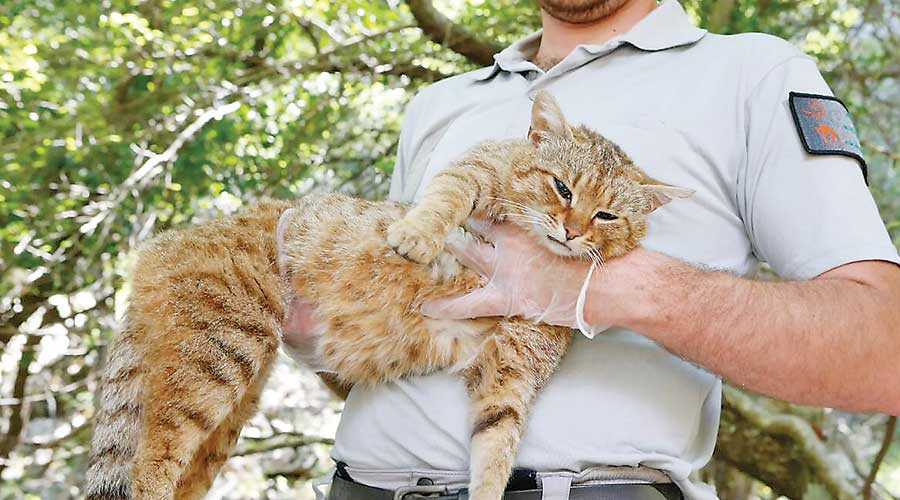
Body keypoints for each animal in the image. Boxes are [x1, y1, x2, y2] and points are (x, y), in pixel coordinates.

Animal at [86, 91, 688, 500]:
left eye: (606, 215)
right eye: (562, 187)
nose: (572, 230)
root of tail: (165, 243)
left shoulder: (510, 371)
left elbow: (497, 445)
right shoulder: (476, 169)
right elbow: (445, 198)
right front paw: (416, 234)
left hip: (229, 410)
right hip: (219, 355)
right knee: (152, 456)